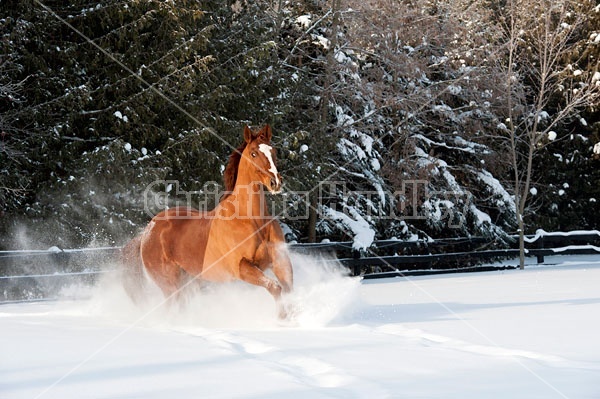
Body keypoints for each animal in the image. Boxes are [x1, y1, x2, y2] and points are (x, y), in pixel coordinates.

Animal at [121, 125, 292, 318]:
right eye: (254, 153)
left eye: (273, 151)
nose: (275, 182)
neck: (253, 220)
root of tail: (146, 233)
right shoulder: (241, 267)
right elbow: (275, 287)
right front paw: (282, 317)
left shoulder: (280, 260)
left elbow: (287, 289)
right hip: (170, 285)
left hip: (187, 281)